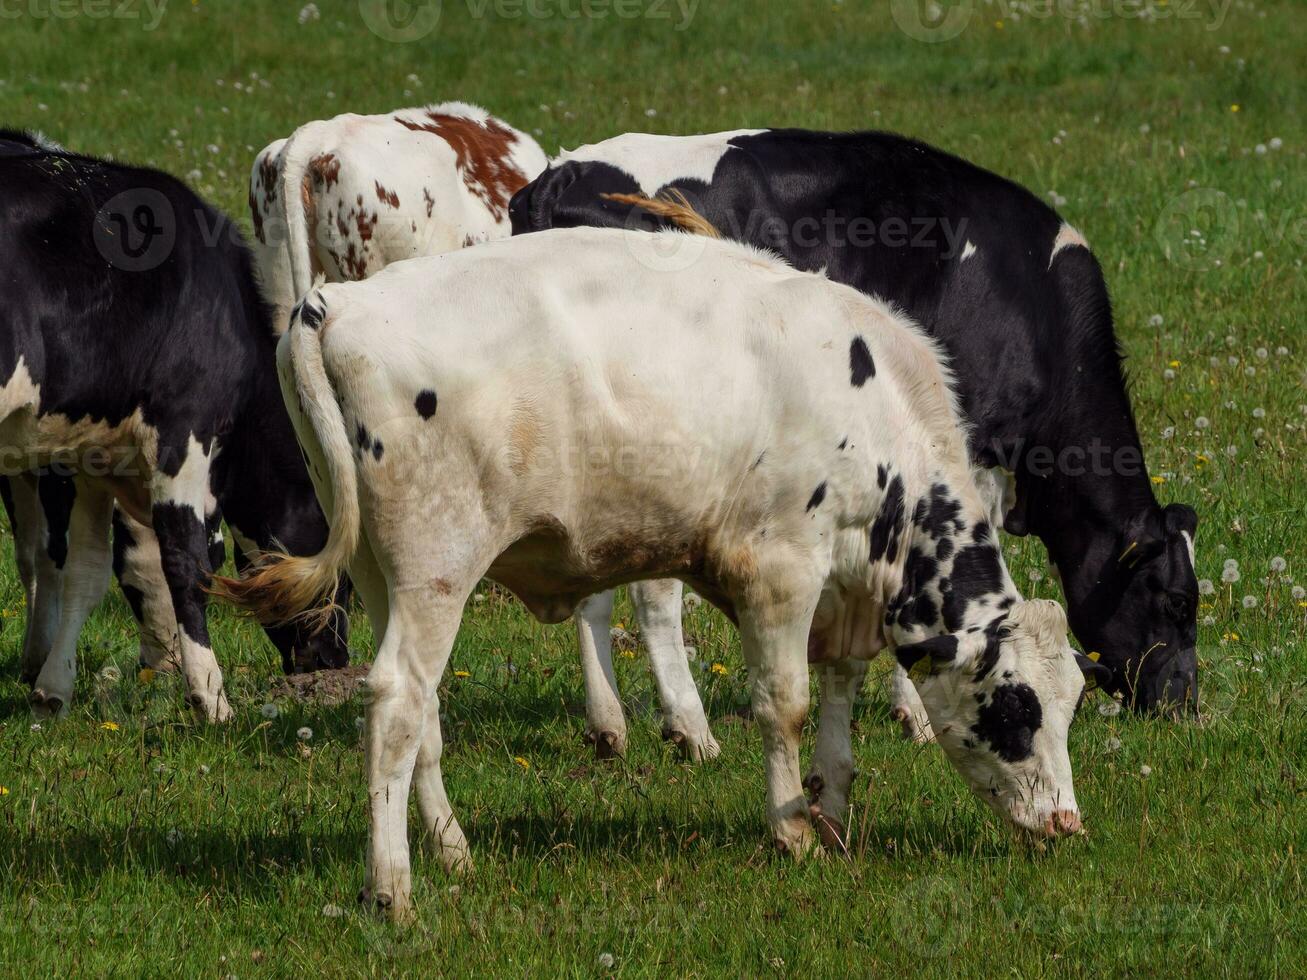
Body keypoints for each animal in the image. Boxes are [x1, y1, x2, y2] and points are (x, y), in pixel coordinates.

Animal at [0, 130, 347, 721]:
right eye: (343, 577)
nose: (336, 662)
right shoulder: (185, 433)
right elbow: (188, 562)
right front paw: (211, 697)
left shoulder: (91, 457)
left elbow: (84, 571)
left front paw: (53, 689)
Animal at [219, 224, 1108, 919]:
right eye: (1017, 706)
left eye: (1071, 701)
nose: (1068, 824)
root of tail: (338, 301)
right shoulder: (779, 567)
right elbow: (783, 705)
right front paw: (791, 831)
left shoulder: (843, 590)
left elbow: (837, 705)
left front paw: (833, 813)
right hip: (436, 567)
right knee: (399, 702)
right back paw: (393, 887)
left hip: (380, 571)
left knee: (420, 709)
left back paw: (452, 851)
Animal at [504, 128, 1197, 742]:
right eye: (1173, 601)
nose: (1185, 706)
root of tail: (556, 176)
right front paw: (920, 713)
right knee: (654, 593)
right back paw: (690, 727)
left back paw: (610, 726)